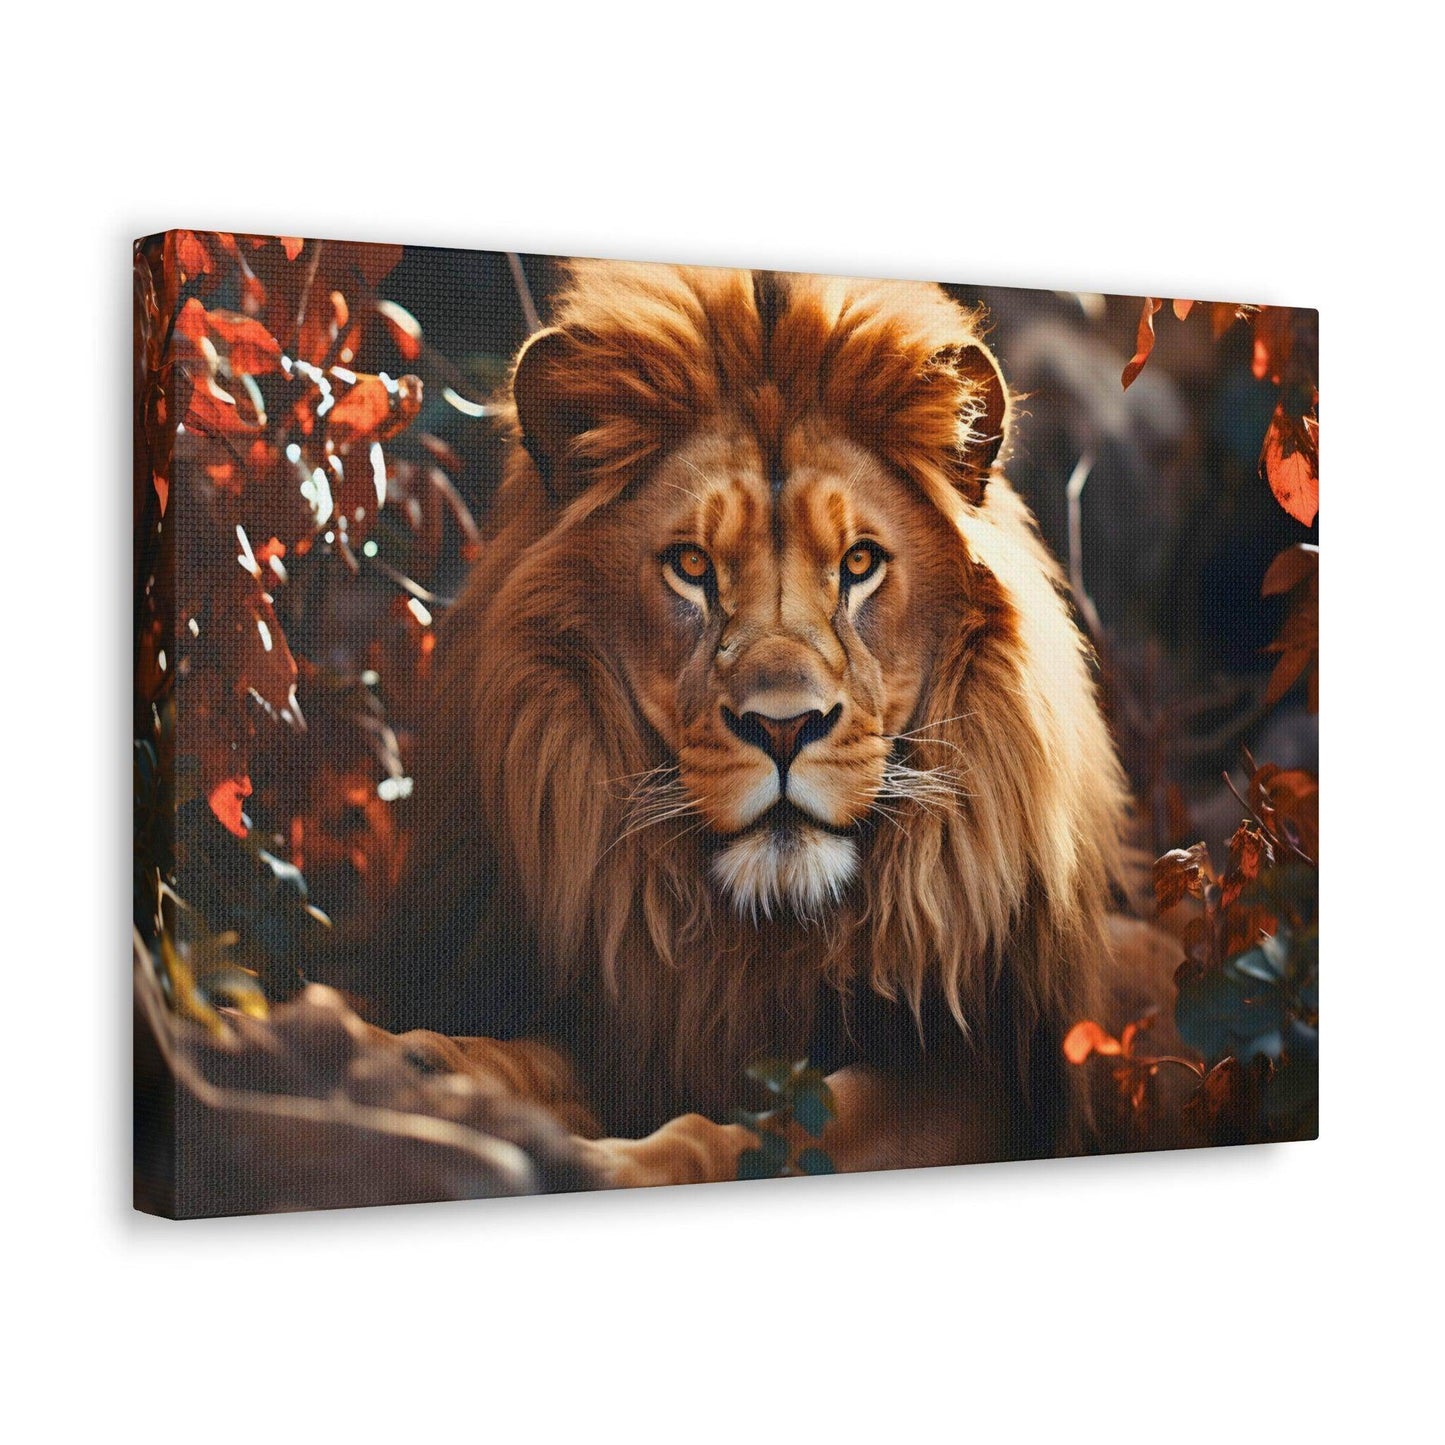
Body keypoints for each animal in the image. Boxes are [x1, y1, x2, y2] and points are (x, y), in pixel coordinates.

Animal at [356, 261, 1134, 1187]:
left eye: (859, 563)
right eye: (691, 566)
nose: (784, 728)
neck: (760, 933)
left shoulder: (972, 1080)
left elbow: (789, 1132)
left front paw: (612, 1164)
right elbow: (518, 1055)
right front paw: (405, 1061)